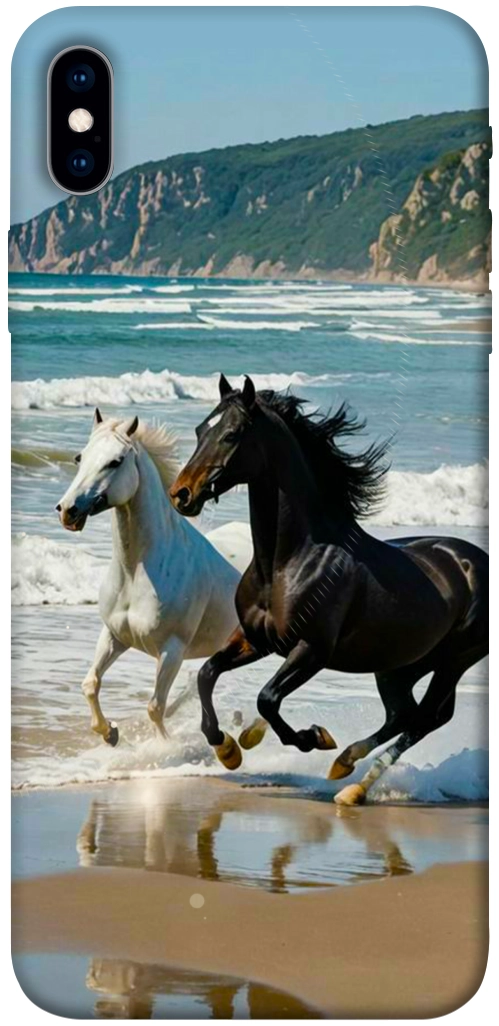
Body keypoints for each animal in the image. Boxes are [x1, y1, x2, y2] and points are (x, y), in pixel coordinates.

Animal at [56, 408, 241, 746]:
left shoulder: (172, 650)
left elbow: (155, 707)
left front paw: (164, 748)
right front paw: (110, 733)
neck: (137, 573)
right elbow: (90, 683)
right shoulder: (114, 636)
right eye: (80, 457)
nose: (67, 510)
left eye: (115, 461)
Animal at [170, 375, 488, 804]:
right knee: (404, 714)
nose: (181, 493)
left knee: (425, 718)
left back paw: (352, 785)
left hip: (455, 660)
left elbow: (267, 699)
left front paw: (313, 738)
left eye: (232, 434)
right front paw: (229, 749)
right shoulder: (256, 639)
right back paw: (345, 766)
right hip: (400, 664)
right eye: (201, 430)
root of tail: (475, 561)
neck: (288, 562)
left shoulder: (312, 650)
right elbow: (206, 674)